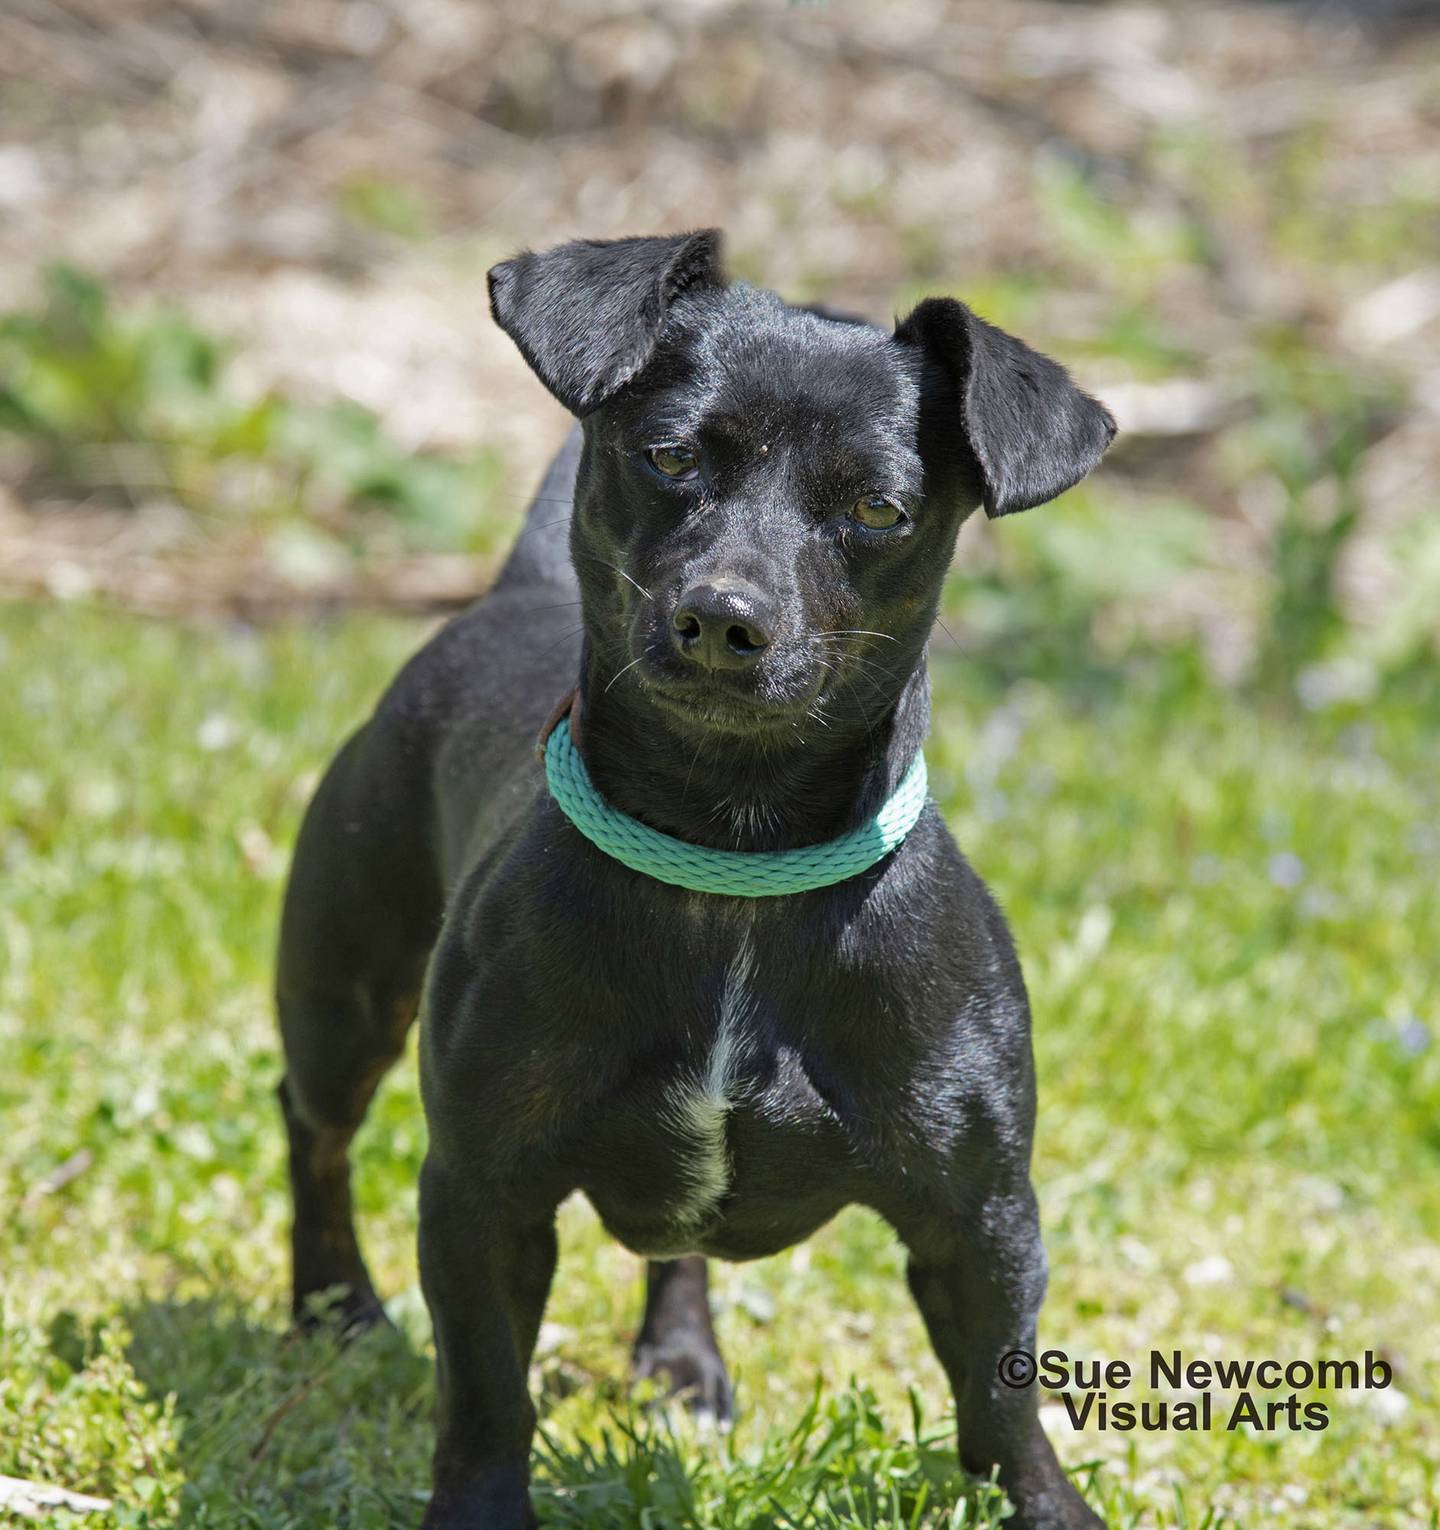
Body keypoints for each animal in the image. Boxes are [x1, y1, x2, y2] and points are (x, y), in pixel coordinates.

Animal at [275, 229, 1120, 1530]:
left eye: (879, 508)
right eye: (669, 454)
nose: (725, 617)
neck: (731, 864)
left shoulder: (983, 1220)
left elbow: (1002, 1401)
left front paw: (1044, 1506)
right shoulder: (482, 1195)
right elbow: (487, 1396)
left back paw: (680, 1360)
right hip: (342, 1002)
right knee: (311, 1131)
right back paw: (336, 1309)